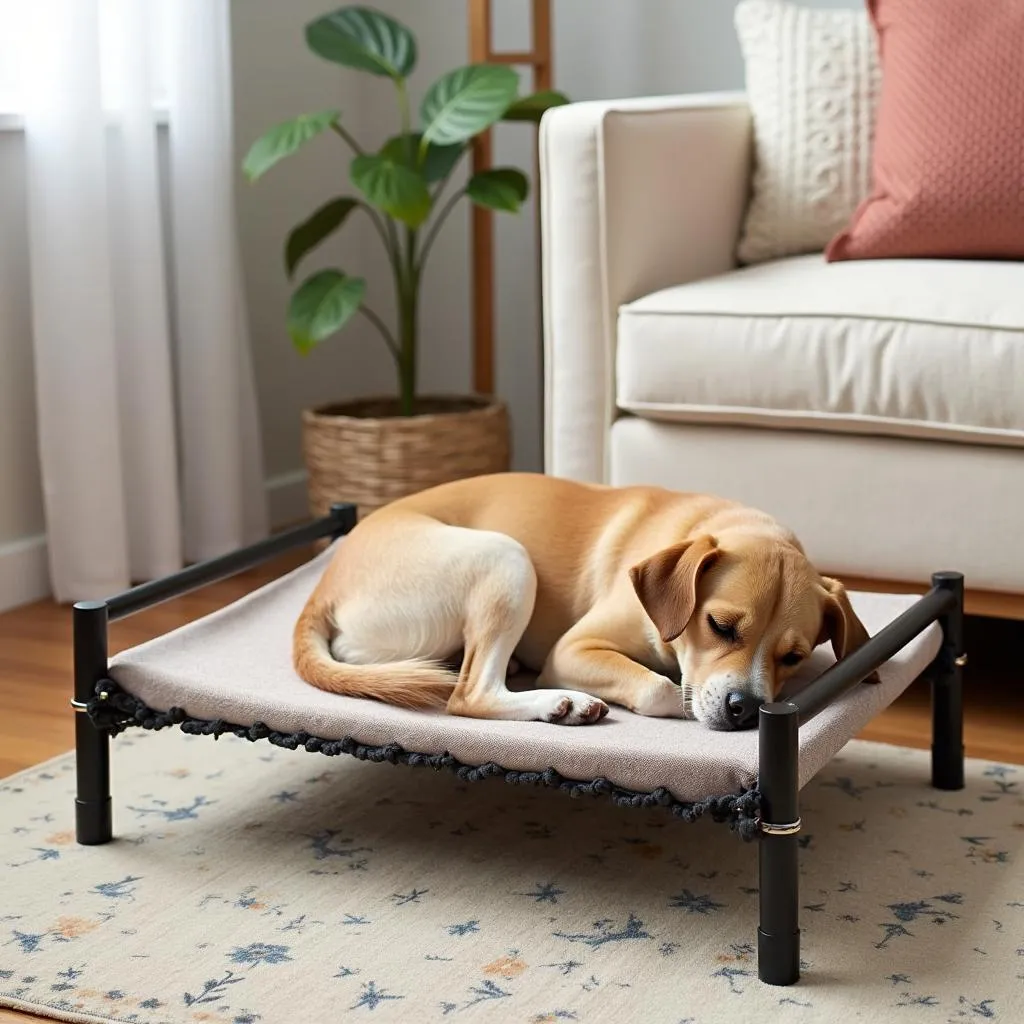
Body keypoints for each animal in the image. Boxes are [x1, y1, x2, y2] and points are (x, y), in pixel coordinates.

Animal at [292, 471, 876, 729]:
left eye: (793, 657)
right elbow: (663, 689)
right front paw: (676, 698)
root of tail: (323, 584)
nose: (746, 710)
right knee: (469, 694)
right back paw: (558, 702)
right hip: (506, 558)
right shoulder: (574, 649)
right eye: (721, 625)